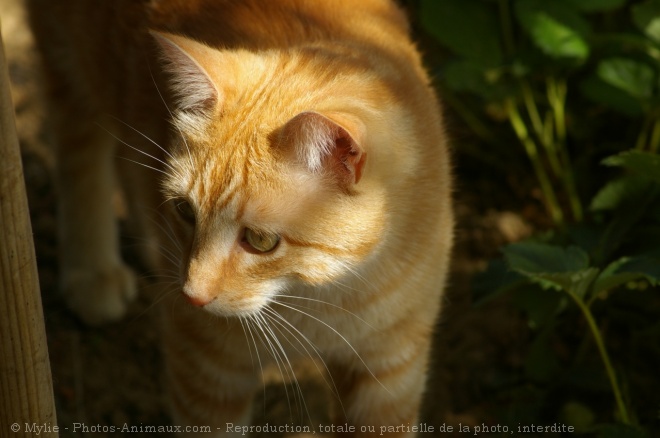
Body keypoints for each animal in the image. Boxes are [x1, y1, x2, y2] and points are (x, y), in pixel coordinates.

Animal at [29, 0, 454, 432]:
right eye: (185, 210)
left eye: (261, 241)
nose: (192, 295)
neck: (324, 297)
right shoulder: (208, 372)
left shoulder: (389, 375)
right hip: (66, 57)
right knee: (80, 151)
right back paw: (93, 269)